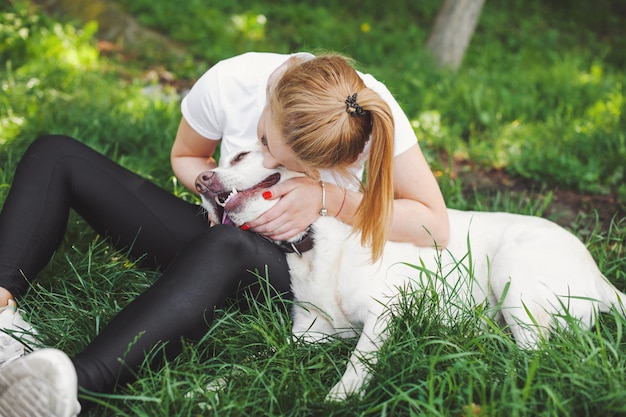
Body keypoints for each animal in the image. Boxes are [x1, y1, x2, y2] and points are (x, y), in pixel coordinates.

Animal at [195, 146, 624, 400]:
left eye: (241, 156)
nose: (200, 180)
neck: (314, 242)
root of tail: (600, 275)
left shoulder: (383, 312)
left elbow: (358, 361)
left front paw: (339, 397)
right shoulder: (309, 334)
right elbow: (255, 358)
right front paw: (209, 387)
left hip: (513, 274)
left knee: (533, 354)